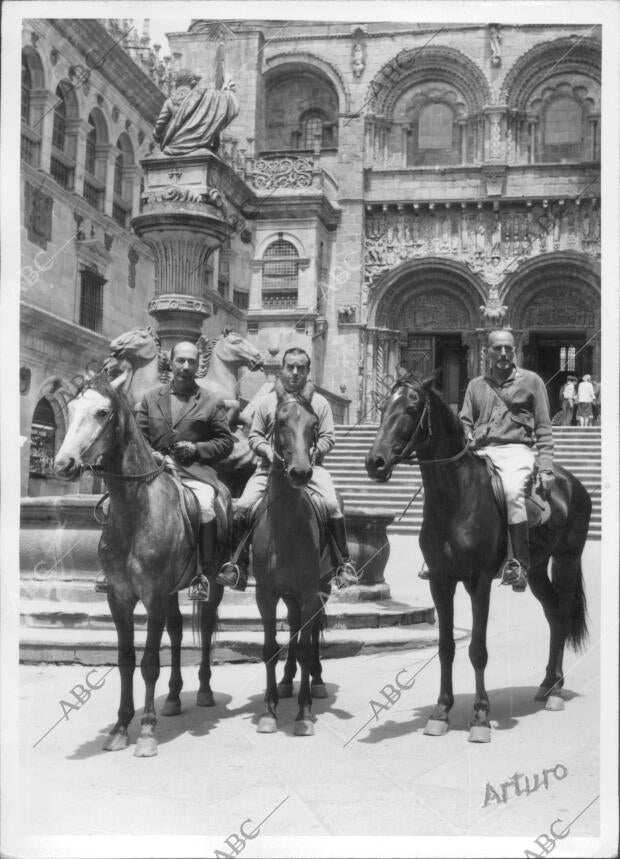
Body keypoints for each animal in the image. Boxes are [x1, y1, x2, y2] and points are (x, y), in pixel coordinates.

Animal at [55, 372, 228, 756]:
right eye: (69, 409)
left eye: (103, 412)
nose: (64, 465)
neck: (136, 509)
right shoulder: (118, 597)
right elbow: (125, 660)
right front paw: (121, 726)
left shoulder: (153, 596)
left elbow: (149, 662)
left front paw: (146, 731)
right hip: (173, 592)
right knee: (177, 632)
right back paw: (175, 697)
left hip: (212, 583)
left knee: (206, 626)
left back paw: (204, 690)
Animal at [368, 380, 592, 744]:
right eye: (384, 406)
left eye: (412, 409)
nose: (375, 462)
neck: (455, 495)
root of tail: (569, 482)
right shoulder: (440, 582)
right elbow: (446, 647)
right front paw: (440, 712)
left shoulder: (479, 583)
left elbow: (477, 650)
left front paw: (480, 717)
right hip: (536, 570)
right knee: (554, 615)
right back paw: (547, 684)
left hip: (567, 559)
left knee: (561, 611)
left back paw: (557, 691)